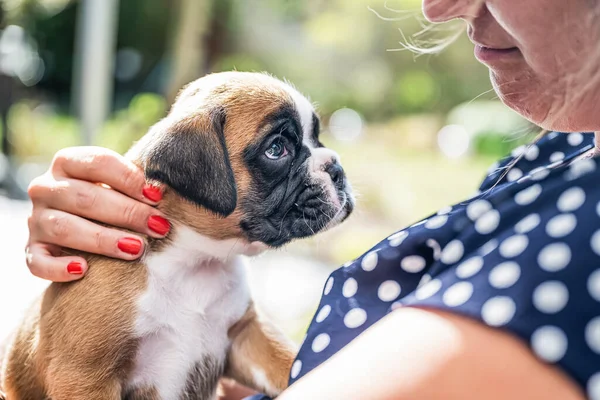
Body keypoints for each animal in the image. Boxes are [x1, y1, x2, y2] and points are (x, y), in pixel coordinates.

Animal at [0, 72, 354, 400]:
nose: (337, 168)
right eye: (277, 149)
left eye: (317, 137)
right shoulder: (84, 376)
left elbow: (290, 363)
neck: (195, 260)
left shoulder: (247, 337)